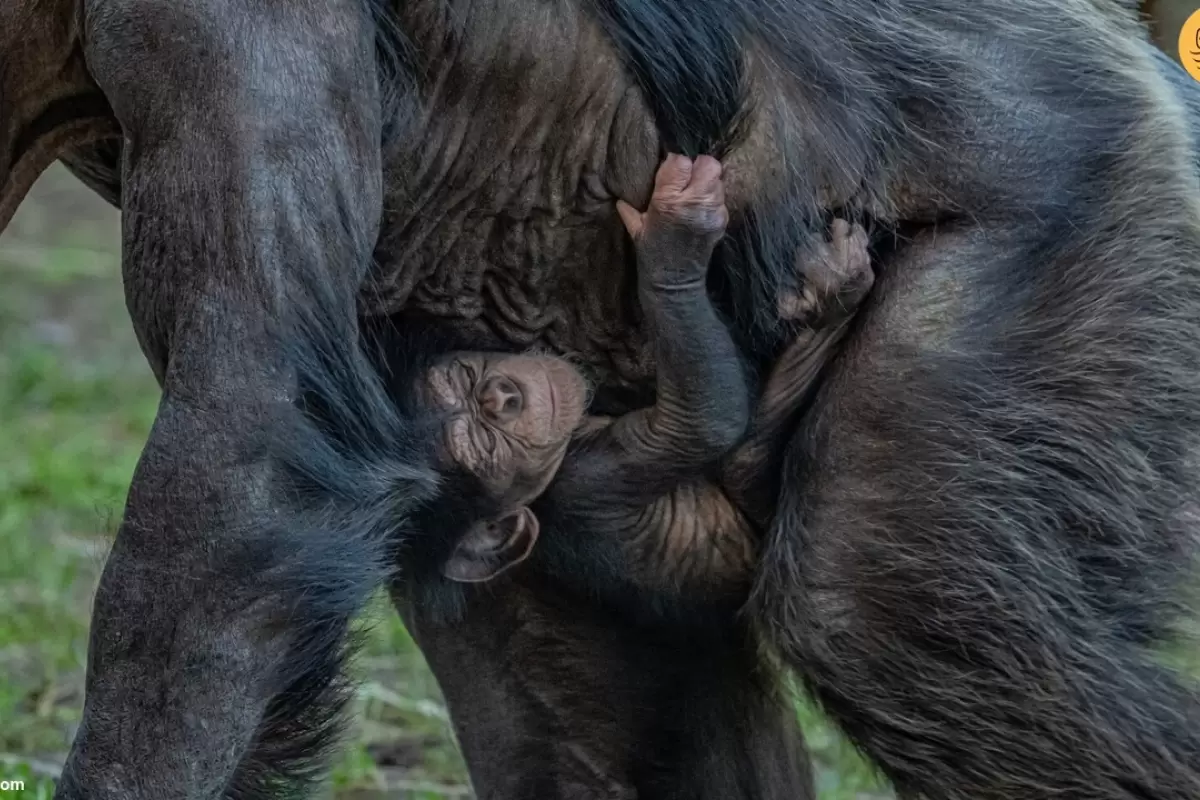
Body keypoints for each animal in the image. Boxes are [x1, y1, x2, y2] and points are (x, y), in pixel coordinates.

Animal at [424, 151, 873, 614]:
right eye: (486, 445)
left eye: (467, 376)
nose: (501, 396)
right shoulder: (587, 480)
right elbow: (707, 427)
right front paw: (678, 229)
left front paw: (831, 287)